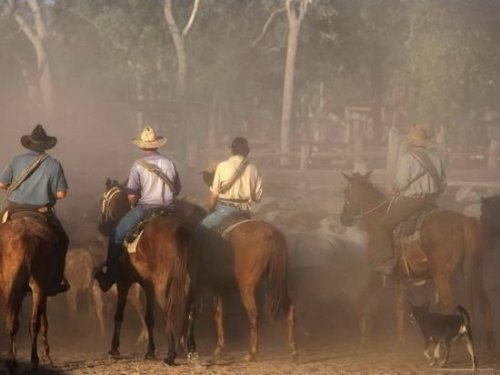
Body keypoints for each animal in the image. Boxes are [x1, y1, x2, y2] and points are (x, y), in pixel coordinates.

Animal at [0, 214, 58, 374]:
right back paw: (33, 361)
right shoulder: (42, 290)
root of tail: (27, 240)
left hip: (12, 286)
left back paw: (11, 363)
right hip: (37, 287)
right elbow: (43, 321)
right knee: (33, 322)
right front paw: (45, 355)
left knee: (11, 321)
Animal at [96, 179, 200, 368]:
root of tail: (180, 231)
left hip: (163, 286)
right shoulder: (148, 285)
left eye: (104, 200)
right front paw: (150, 350)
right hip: (191, 282)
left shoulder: (123, 282)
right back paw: (191, 350)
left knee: (168, 313)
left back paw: (171, 354)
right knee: (191, 311)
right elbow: (149, 318)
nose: (102, 227)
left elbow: (119, 315)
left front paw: (114, 349)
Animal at [340, 172, 496, 352]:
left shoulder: (377, 272)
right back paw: (490, 348)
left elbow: (364, 297)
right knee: (485, 304)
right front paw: (400, 341)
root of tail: (464, 221)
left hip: (442, 277)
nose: (344, 219)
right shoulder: (399, 277)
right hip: (475, 273)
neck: (379, 217)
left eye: (347, 193)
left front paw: (364, 335)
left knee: (450, 308)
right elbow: (399, 307)